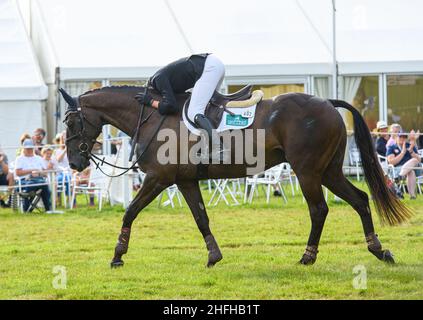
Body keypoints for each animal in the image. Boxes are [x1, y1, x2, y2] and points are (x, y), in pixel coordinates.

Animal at [58, 85, 412, 268]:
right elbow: (201, 218)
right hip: (329, 171)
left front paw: (117, 255)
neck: (153, 117)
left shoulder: (158, 179)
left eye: (71, 122)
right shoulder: (184, 181)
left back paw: (308, 256)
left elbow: (130, 211)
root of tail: (326, 102)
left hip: (308, 171)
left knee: (319, 210)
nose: (74, 162)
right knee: (360, 199)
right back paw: (379, 250)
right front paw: (214, 256)